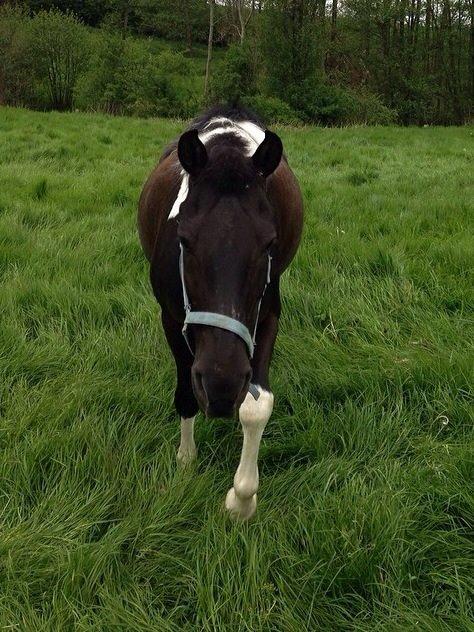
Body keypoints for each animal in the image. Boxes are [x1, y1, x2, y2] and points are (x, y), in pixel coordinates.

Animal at [137, 103, 302, 520]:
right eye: (183, 239)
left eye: (269, 243)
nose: (221, 384)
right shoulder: (171, 318)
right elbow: (186, 392)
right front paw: (185, 460)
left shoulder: (268, 315)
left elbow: (257, 406)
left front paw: (241, 501)